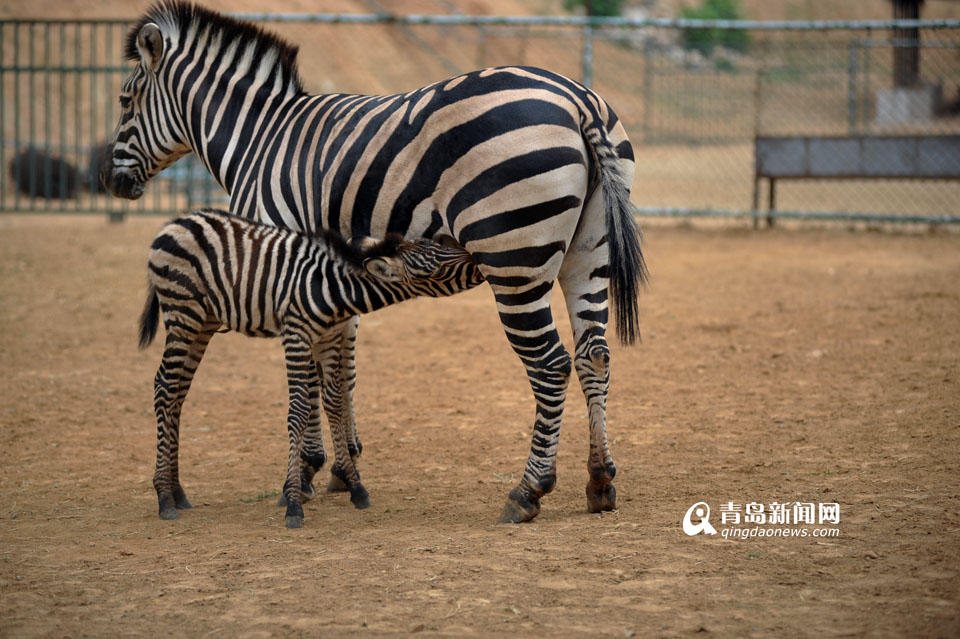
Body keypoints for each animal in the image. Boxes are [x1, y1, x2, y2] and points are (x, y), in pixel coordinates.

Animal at [139, 210, 480, 528]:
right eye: (435, 267)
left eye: (438, 245)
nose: (478, 261)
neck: (332, 287)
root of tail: (177, 221)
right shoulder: (297, 335)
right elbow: (300, 411)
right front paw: (293, 502)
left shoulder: (327, 338)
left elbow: (334, 403)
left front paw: (356, 488)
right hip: (183, 313)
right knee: (164, 387)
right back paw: (164, 497)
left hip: (203, 323)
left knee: (178, 393)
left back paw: (178, 491)